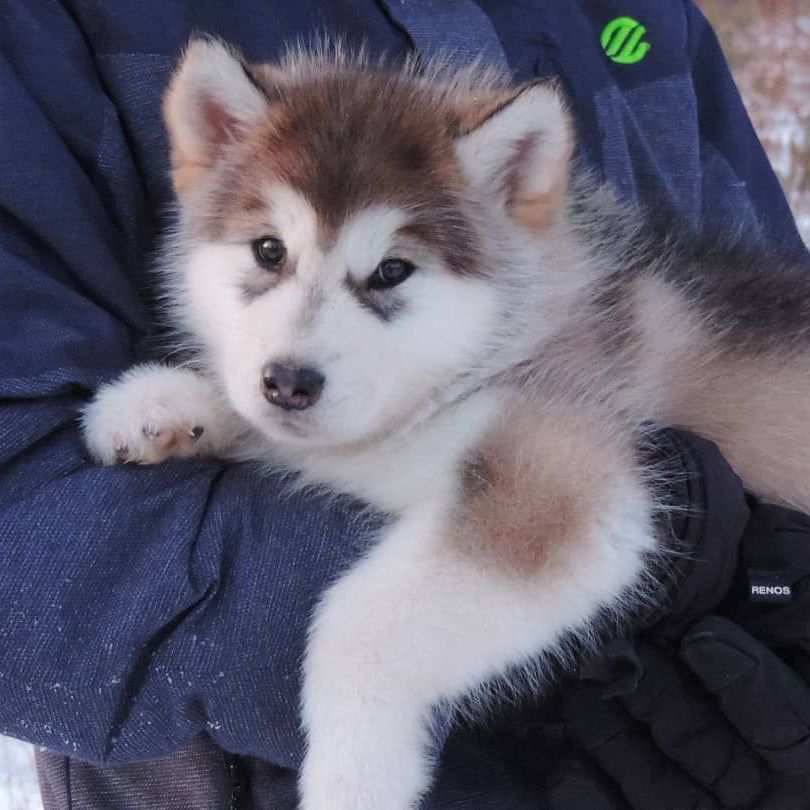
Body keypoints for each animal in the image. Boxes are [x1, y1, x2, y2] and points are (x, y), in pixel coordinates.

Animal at [83, 38, 810, 808]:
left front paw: (354, 779)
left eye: (392, 270)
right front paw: (162, 403)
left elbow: (358, 626)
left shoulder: (564, 481)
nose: (288, 383)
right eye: (269, 250)